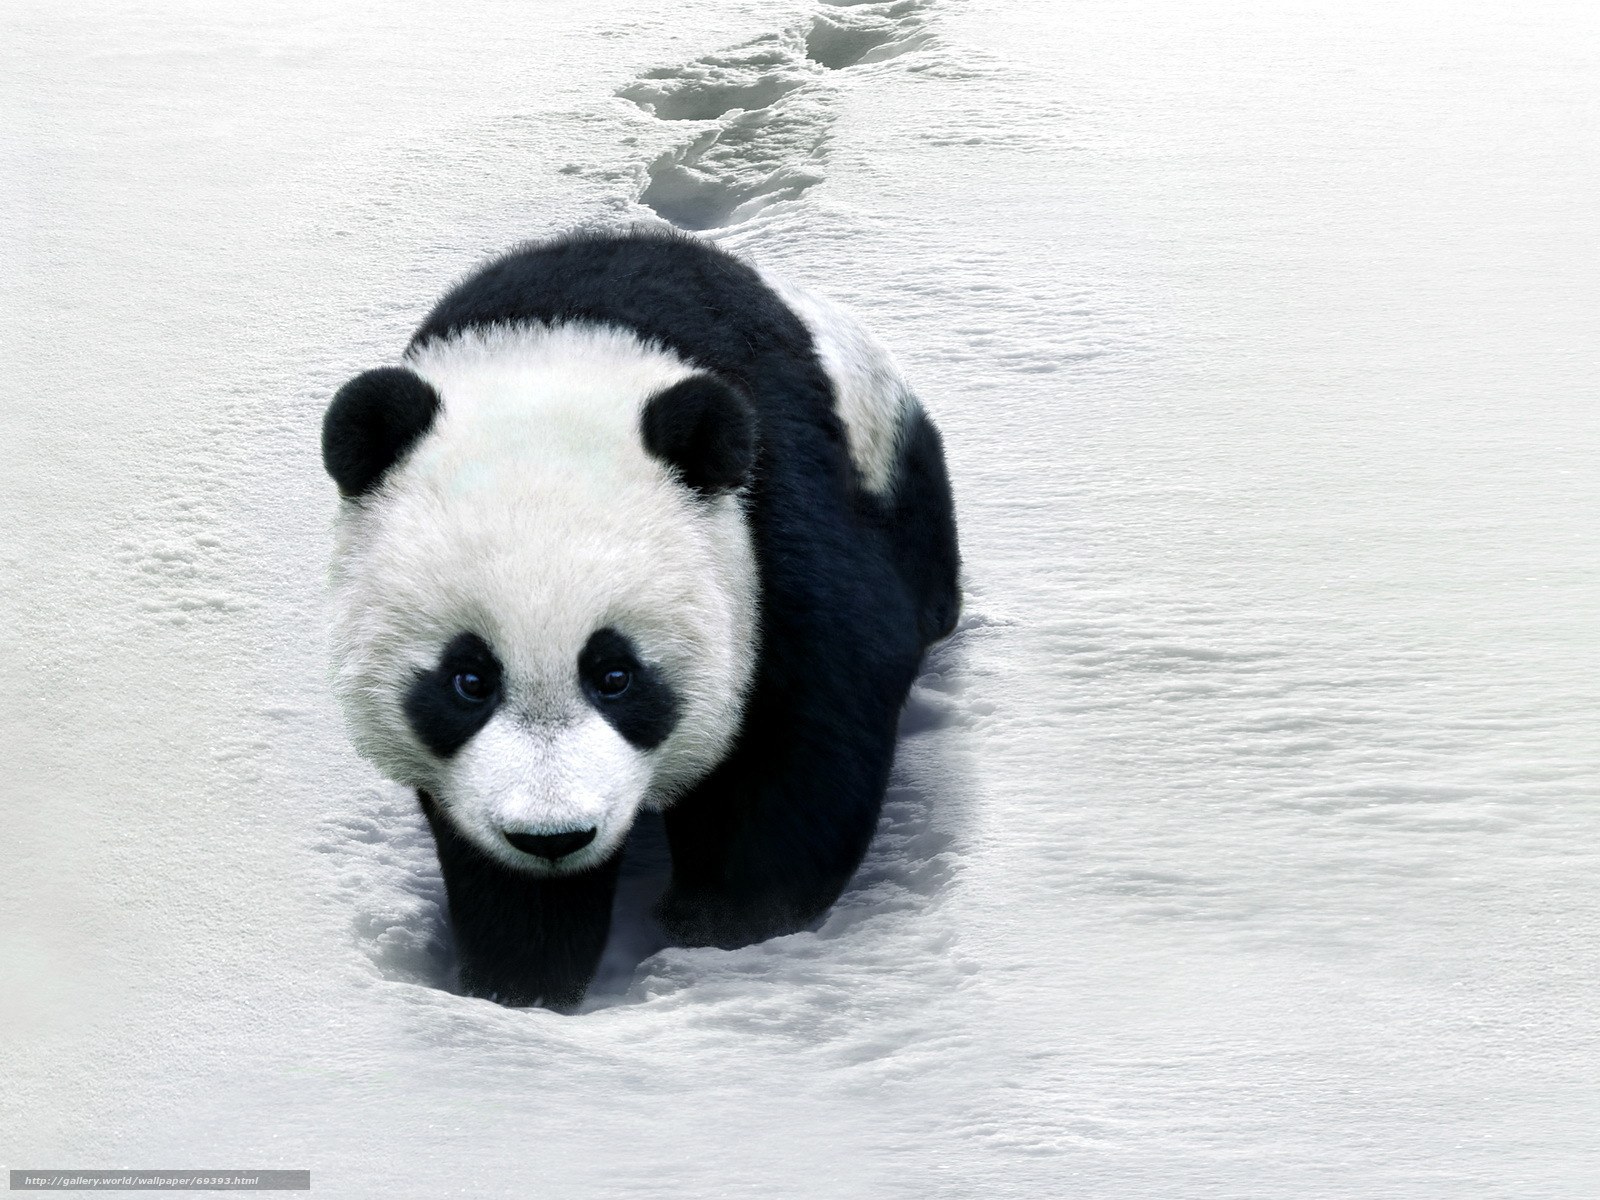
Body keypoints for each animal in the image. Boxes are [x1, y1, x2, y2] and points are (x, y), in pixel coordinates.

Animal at [322, 227, 960, 1009]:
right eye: (468, 680)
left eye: (615, 675)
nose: (553, 837)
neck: (560, 346)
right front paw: (521, 976)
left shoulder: (772, 521)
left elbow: (808, 730)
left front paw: (722, 930)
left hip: (888, 456)